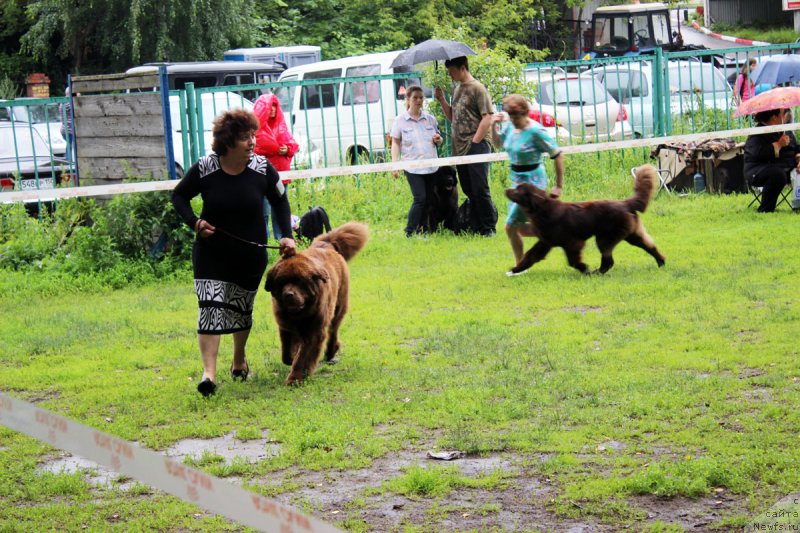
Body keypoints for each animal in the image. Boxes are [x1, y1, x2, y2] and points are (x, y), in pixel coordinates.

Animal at [268, 222, 370, 384]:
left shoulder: (314, 330)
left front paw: (295, 379)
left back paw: (331, 351)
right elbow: (287, 353)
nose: (288, 295)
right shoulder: (285, 327)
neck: (300, 314)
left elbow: (303, 357)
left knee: (333, 330)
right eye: (282, 282)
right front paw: (292, 357)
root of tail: (326, 245)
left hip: (338, 307)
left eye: (300, 281)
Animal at [506, 164, 668, 274]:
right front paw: (516, 268)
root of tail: (626, 203)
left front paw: (584, 268)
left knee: (608, 260)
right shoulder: (545, 242)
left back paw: (597, 273)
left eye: (518, 190)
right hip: (632, 234)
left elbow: (572, 261)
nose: (506, 189)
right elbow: (530, 255)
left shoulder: (572, 242)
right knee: (650, 246)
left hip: (605, 238)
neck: (542, 210)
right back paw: (661, 263)